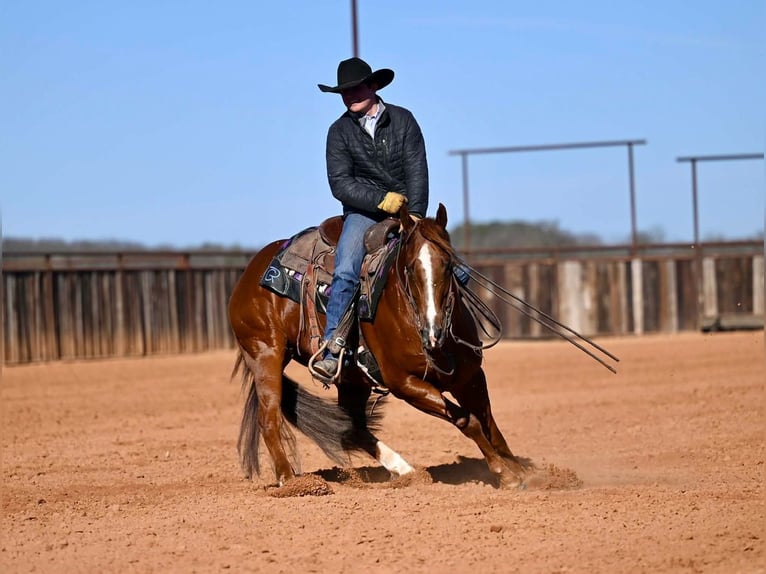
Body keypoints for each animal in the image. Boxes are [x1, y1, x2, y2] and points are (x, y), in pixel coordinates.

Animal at [228, 203, 528, 488]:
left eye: (448, 263)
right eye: (410, 268)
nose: (434, 331)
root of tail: (249, 274)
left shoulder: (470, 376)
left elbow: (490, 425)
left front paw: (525, 471)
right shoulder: (406, 384)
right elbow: (469, 421)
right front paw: (505, 473)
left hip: (351, 379)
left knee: (354, 428)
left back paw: (405, 470)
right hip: (265, 354)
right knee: (269, 418)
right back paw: (290, 480)